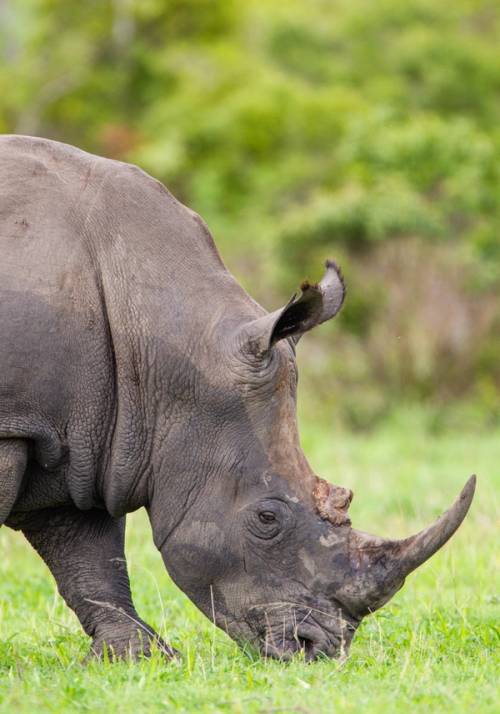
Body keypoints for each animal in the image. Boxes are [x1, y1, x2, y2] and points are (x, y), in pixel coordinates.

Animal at [0, 134, 475, 662]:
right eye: (267, 518)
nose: (315, 650)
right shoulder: (22, 425)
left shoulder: (79, 435)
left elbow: (89, 557)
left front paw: (136, 658)